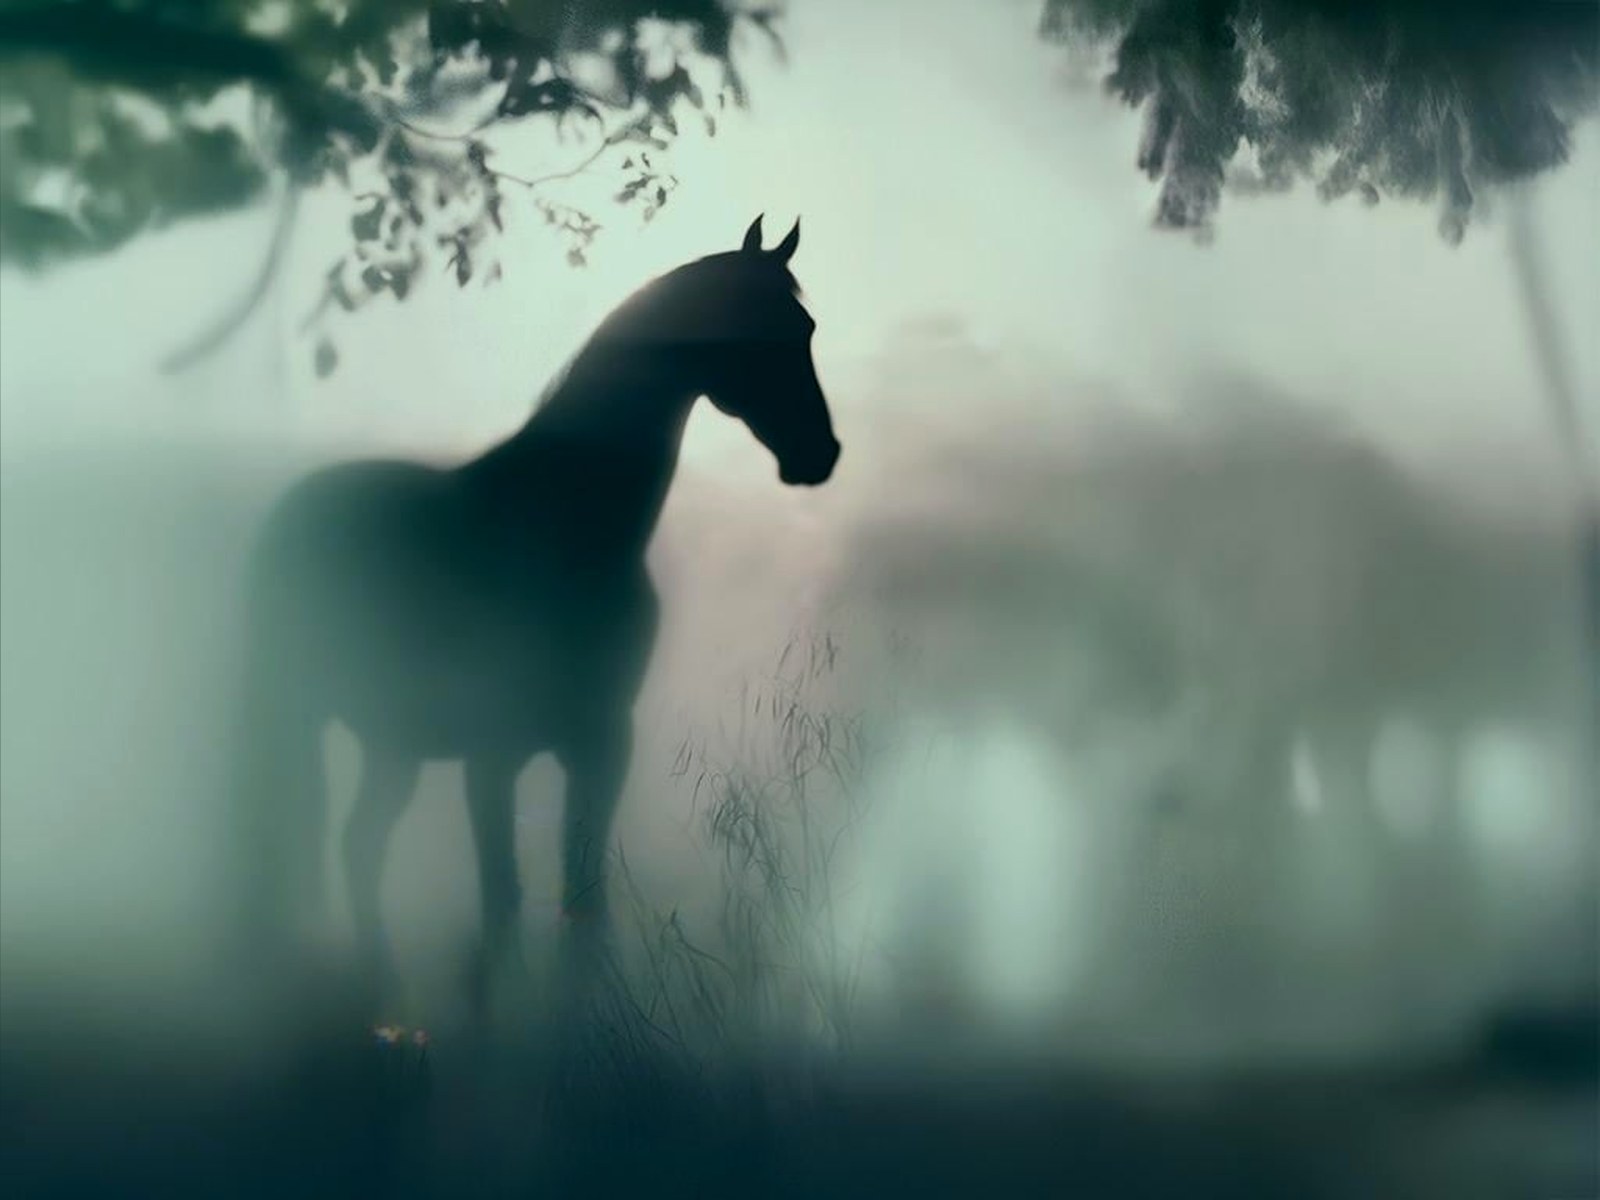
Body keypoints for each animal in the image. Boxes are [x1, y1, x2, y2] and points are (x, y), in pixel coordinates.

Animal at [229, 215, 839, 1017]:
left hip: (392, 747)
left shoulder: (602, 744)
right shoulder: (493, 756)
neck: (563, 525)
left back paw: (385, 989)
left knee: (360, 844)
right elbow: (503, 902)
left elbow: (584, 898)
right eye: (749, 328)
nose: (819, 454)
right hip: (299, 716)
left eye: (804, 327)